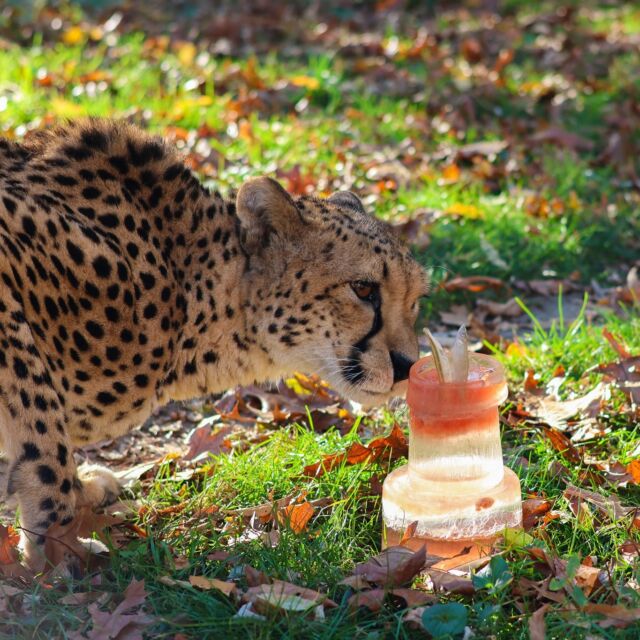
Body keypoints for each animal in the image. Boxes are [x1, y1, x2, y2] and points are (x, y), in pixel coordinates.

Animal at [1, 120, 430, 568]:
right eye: (363, 289)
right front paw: (58, 549)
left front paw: (78, 500)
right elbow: (44, 441)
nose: (406, 365)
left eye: (415, 299)